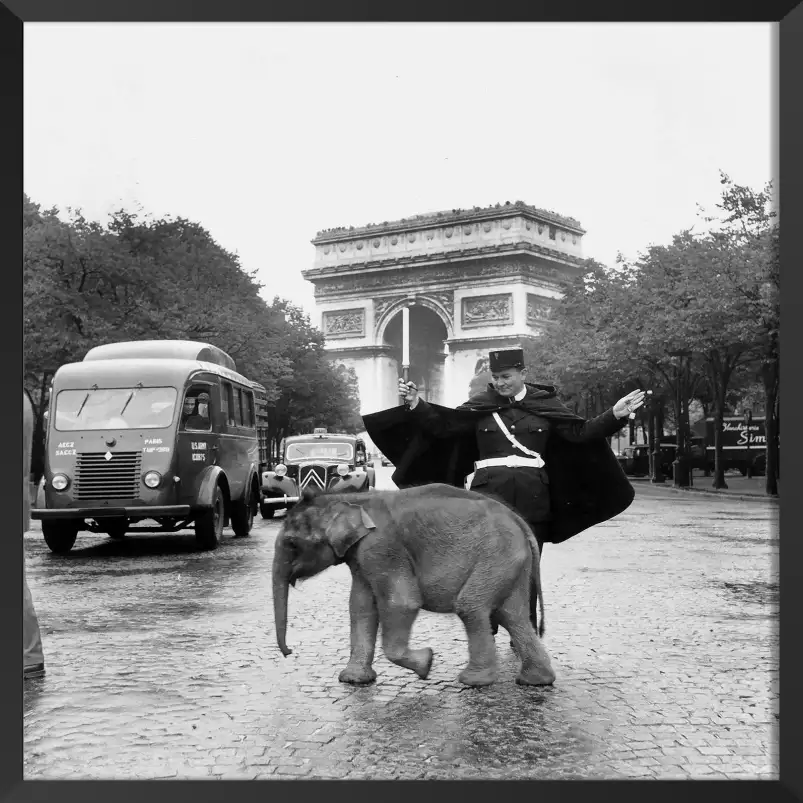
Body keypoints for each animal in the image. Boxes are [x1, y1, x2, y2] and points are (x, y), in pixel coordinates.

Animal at [274, 480, 556, 688]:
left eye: (292, 543)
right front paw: (353, 680)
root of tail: (520, 522)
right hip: (510, 564)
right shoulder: (361, 557)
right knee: (512, 615)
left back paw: (474, 681)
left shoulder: (382, 547)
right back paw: (536, 681)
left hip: (496, 556)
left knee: (473, 608)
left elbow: (402, 602)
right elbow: (361, 606)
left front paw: (426, 664)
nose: (289, 652)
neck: (353, 499)